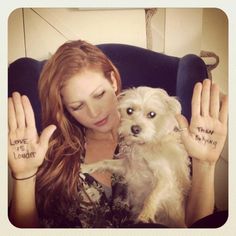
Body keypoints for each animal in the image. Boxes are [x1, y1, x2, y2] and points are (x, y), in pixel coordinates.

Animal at [80, 86, 191, 227]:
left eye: (152, 114)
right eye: (129, 110)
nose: (135, 129)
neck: (144, 144)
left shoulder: (166, 178)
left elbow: (152, 196)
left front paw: (145, 215)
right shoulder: (127, 166)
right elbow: (105, 162)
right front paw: (86, 167)